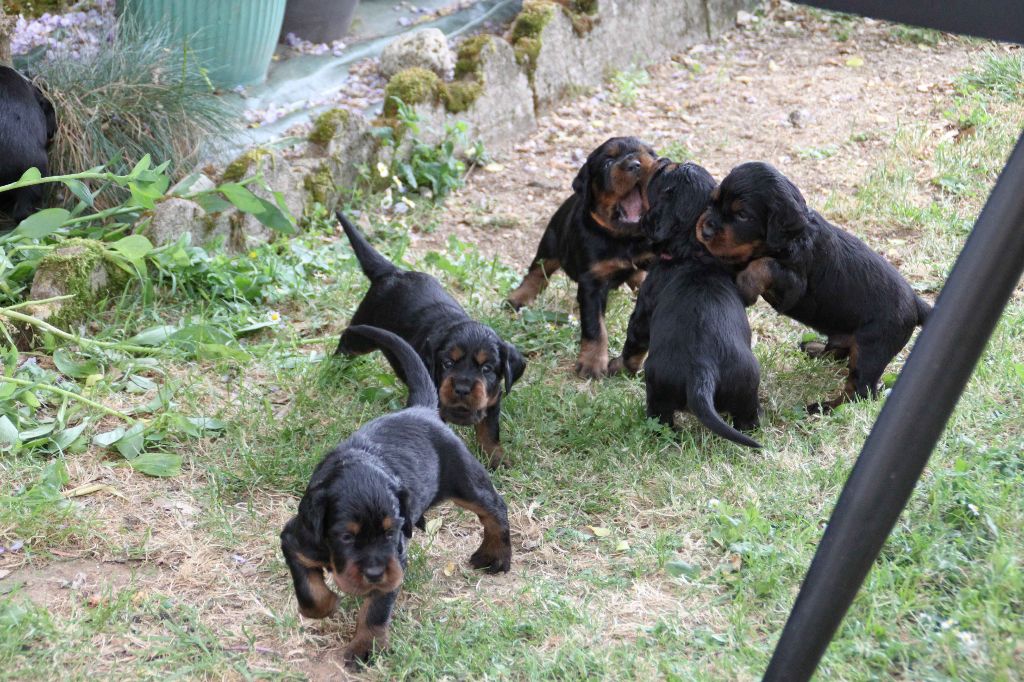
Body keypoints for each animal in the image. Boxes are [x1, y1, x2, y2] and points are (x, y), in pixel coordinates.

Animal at [335, 212, 528, 466]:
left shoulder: (493, 401)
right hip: (365, 331)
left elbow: (489, 431)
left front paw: (496, 458)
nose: (462, 388)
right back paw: (335, 368)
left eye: (487, 369)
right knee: (348, 339)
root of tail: (392, 272)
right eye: (447, 363)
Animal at [505, 133, 663, 376]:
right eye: (608, 162)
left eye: (649, 154)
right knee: (537, 273)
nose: (636, 164)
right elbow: (595, 327)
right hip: (550, 244)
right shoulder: (592, 283)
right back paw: (518, 297)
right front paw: (591, 365)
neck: (625, 238)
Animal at [606, 159, 761, 446]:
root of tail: (702, 370)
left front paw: (619, 367)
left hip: (657, 386)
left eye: (666, 173)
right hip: (745, 383)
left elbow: (633, 343)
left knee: (660, 417)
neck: (692, 252)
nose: (663, 160)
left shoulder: (643, 308)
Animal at [696, 161, 929, 411]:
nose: (705, 230)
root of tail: (916, 303)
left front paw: (745, 286)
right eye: (712, 201)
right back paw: (817, 351)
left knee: (860, 390)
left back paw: (823, 408)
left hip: (873, 347)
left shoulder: (793, 285)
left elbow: (763, 264)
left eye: (742, 215)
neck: (794, 236)